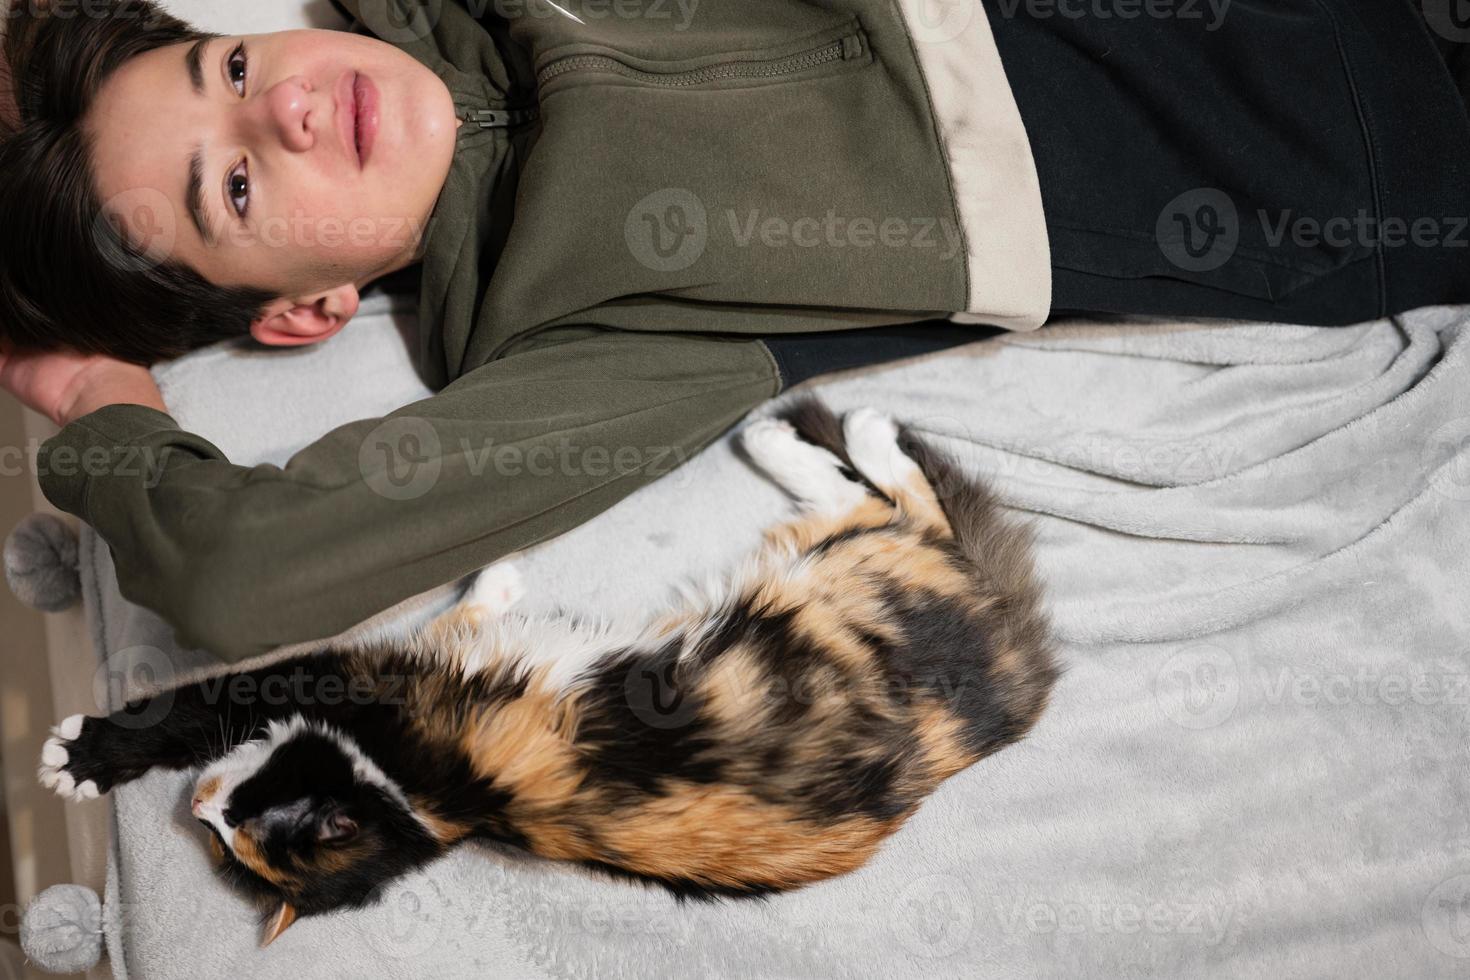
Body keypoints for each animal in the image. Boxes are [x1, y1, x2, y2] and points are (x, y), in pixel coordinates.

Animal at [37, 399, 1058, 940]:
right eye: (219, 846)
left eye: (240, 825)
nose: (199, 805)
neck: (420, 802)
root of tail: (1004, 673)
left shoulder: (364, 673)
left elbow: (199, 701)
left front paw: (81, 756)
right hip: (824, 564)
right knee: (867, 500)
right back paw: (792, 435)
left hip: (853, 577)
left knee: (908, 497)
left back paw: (838, 424)